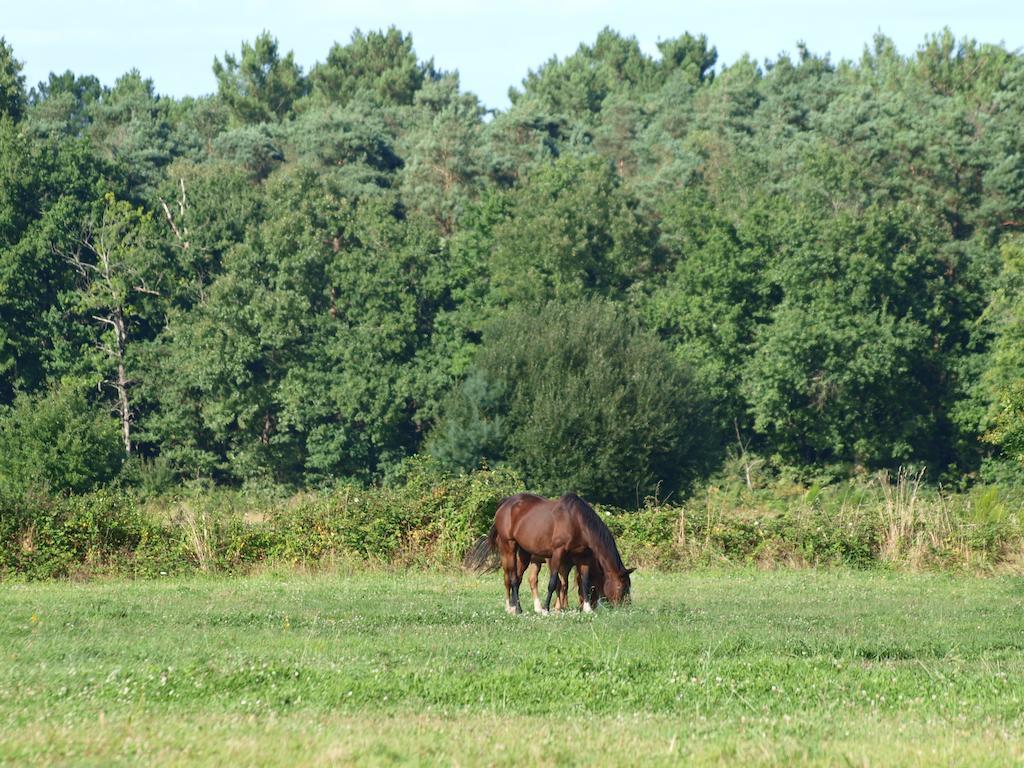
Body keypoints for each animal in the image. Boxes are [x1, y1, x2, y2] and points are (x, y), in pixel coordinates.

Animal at [466, 495, 630, 618]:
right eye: (622, 586)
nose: (626, 606)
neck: (577, 521)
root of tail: (505, 504)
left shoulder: (583, 558)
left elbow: (582, 581)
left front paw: (587, 609)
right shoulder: (557, 554)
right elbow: (554, 583)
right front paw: (547, 609)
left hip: (525, 554)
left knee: (519, 579)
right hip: (509, 547)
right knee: (511, 578)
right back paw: (515, 609)